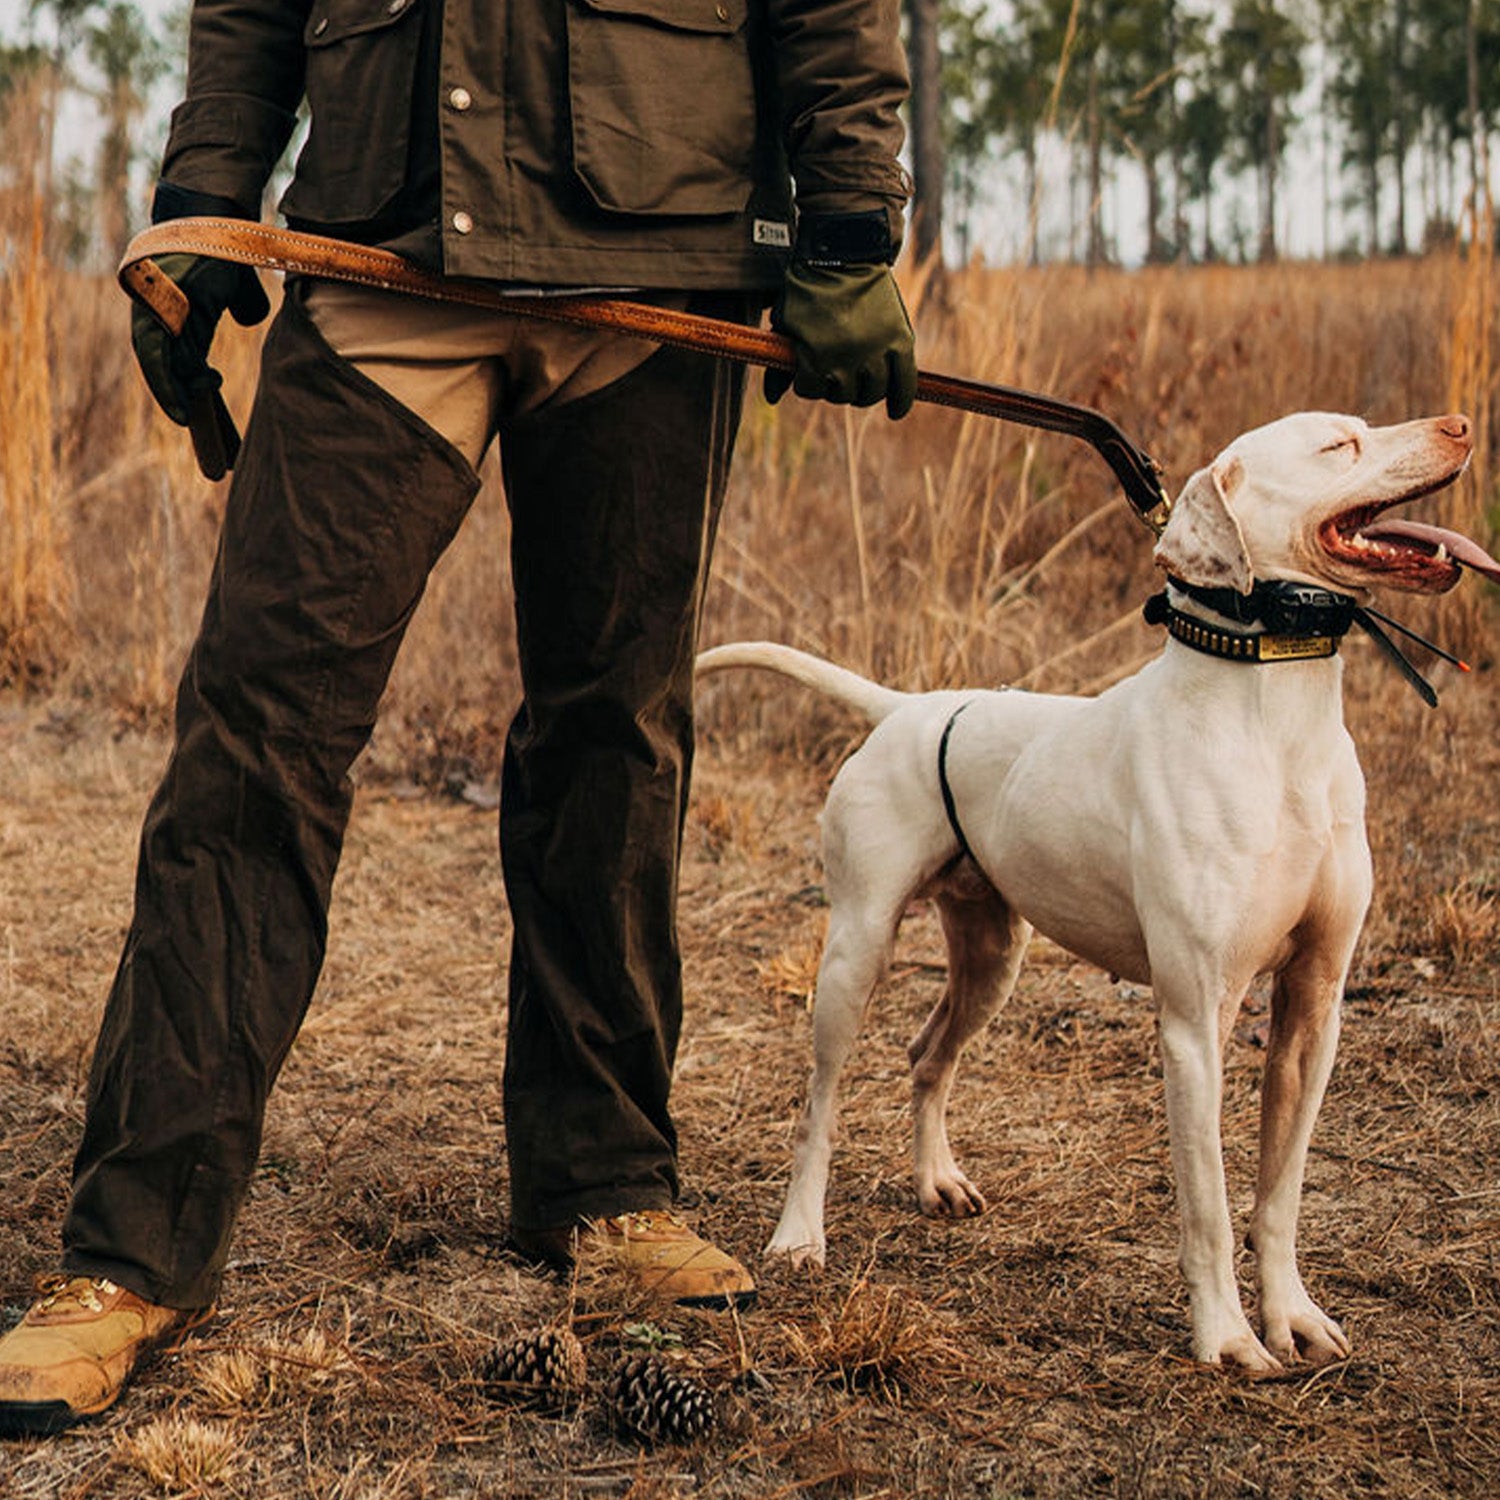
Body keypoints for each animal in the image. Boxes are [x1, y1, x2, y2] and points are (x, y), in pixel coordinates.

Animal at [699, 411, 1488, 1374]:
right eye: (1340, 445)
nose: (1460, 424)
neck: (1274, 708)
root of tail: (908, 708)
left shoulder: (1315, 1007)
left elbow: (1280, 1195)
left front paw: (1293, 1317)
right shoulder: (1194, 1024)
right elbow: (1209, 1205)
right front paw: (1227, 1338)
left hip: (992, 959)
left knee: (929, 1056)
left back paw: (937, 1182)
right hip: (855, 954)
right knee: (820, 1102)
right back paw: (799, 1236)